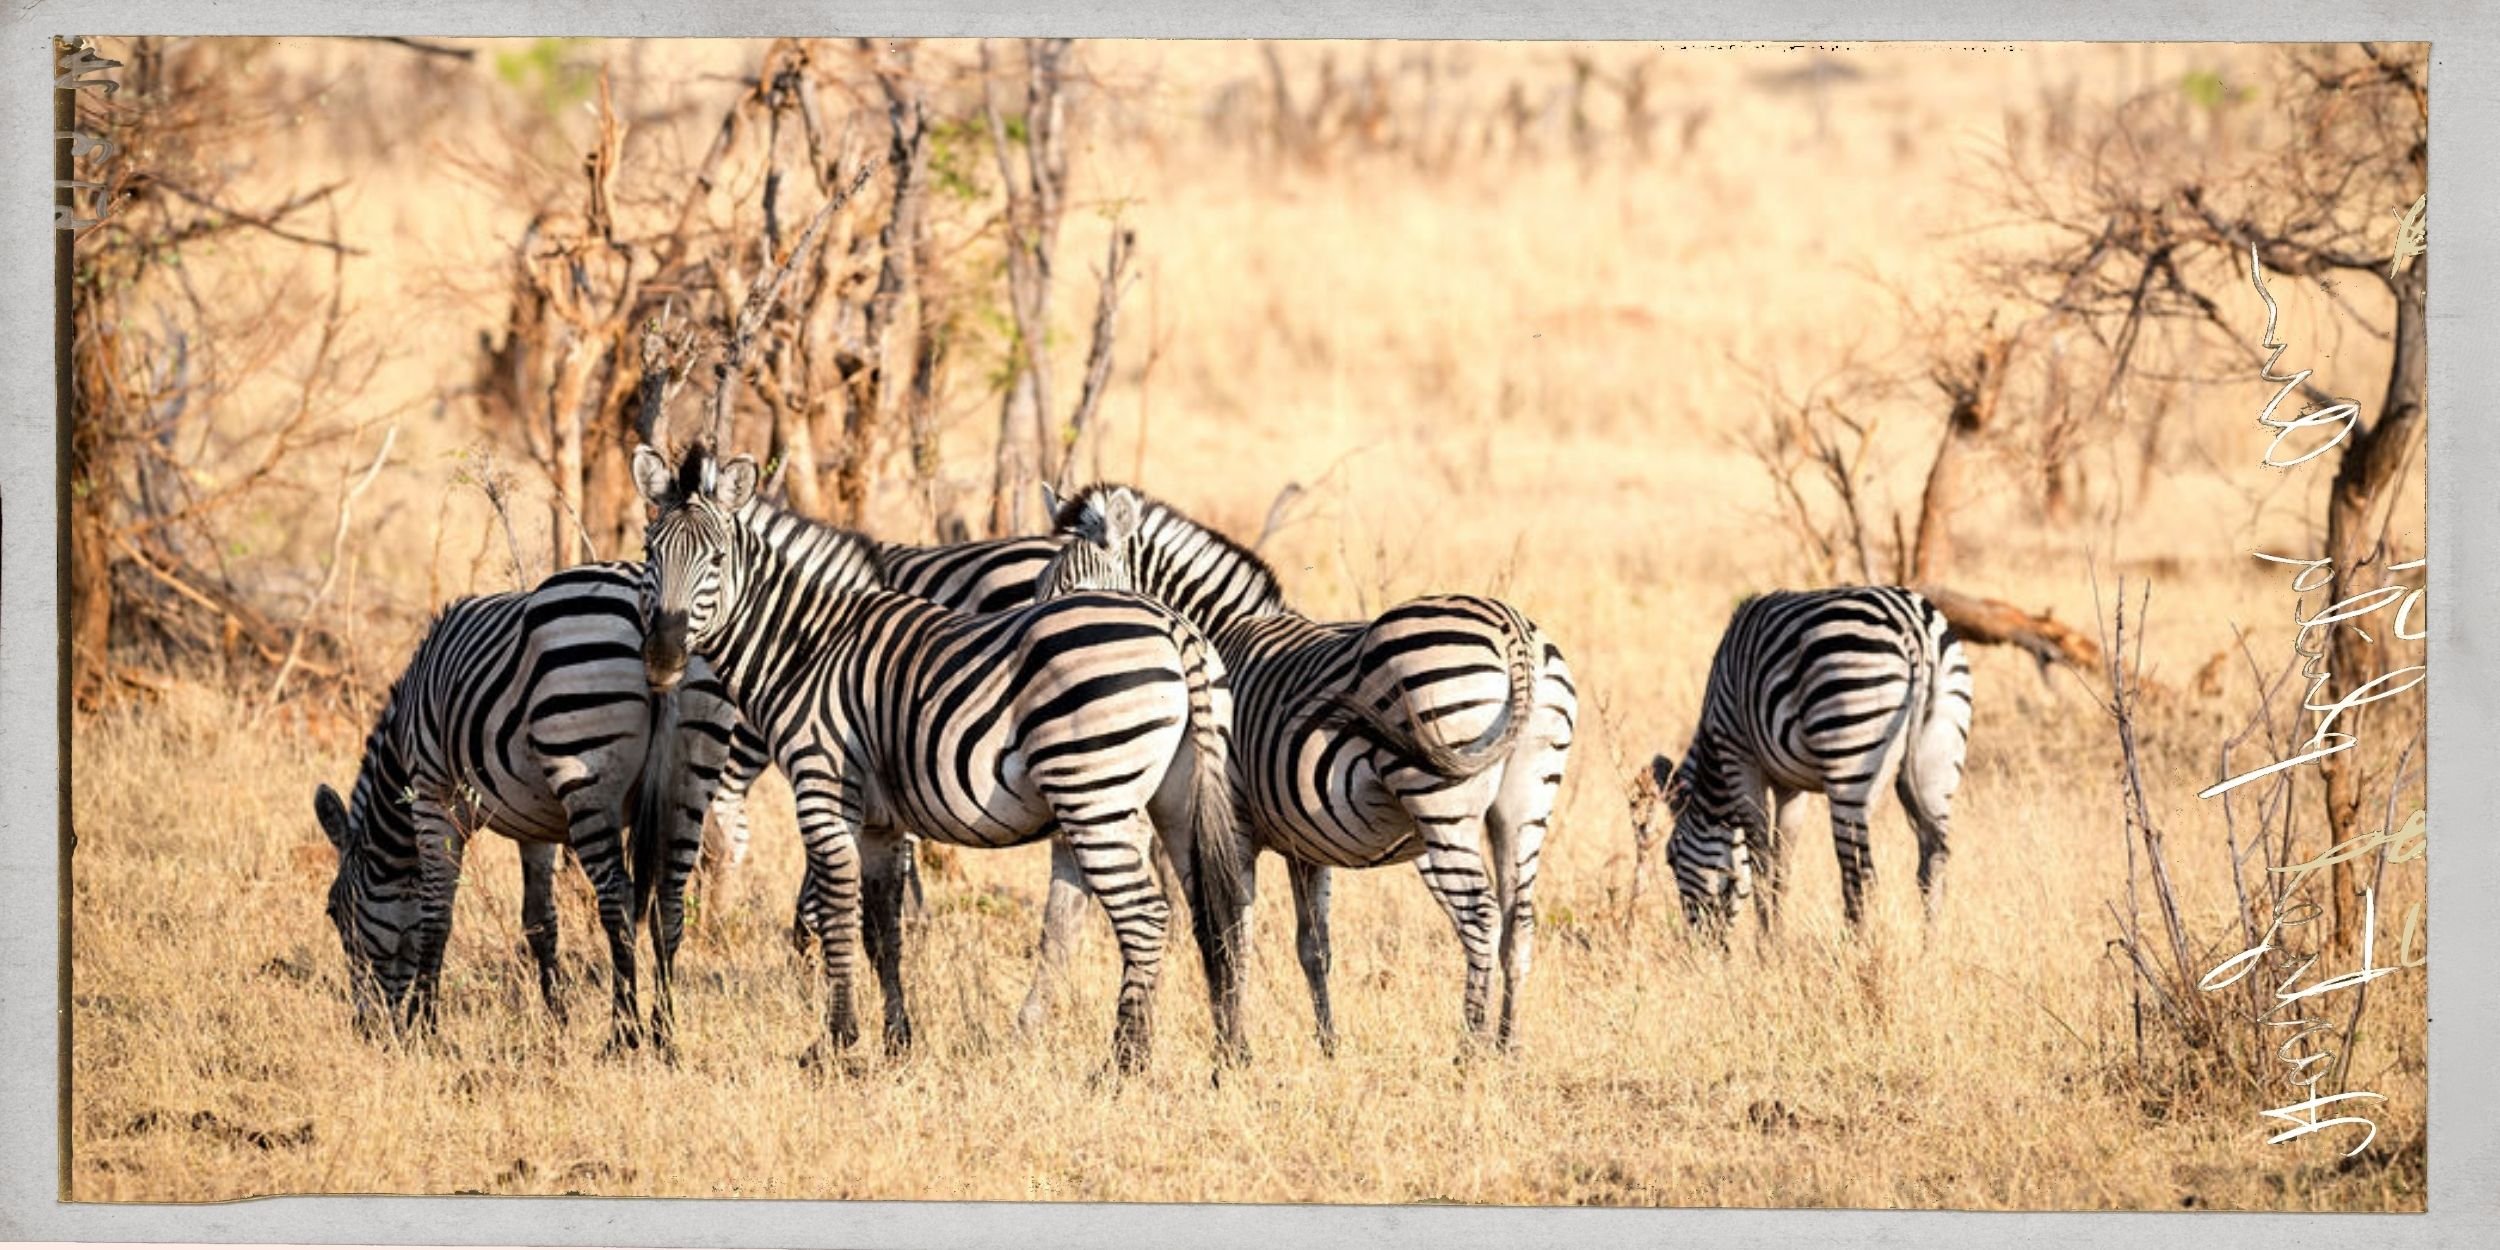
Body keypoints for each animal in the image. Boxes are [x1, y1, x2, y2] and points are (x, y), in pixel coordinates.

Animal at [312, 562, 736, 1052]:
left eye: (334, 911)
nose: (365, 1030)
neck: (402, 745)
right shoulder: (538, 826)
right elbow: (540, 923)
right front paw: (557, 1023)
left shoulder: (433, 797)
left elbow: (436, 914)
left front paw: (424, 1028)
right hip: (691, 777)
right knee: (669, 902)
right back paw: (664, 1037)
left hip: (586, 770)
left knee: (617, 898)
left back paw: (623, 1035)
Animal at [633, 443, 1242, 1072]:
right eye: (649, 552)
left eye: (715, 558)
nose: (663, 657)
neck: (809, 647)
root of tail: (1172, 625)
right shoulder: (881, 822)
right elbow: (883, 932)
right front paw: (896, 1039)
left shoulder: (824, 791)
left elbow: (838, 916)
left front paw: (835, 1042)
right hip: (1179, 798)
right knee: (1214, 913)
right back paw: (1227, 1052)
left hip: (1092, 795)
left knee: (1145, 917)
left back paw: (1123, 1065)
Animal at [1031, 482, 1578, 1055]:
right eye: (1040, 589)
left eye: (1075, 594)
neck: (1219, 634)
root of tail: (1512, 629)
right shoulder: (1305, 841)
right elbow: (1313, 947)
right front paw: (1328, 1045)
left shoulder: (1235, 822)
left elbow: (1235, 931)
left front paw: (1233, 1046)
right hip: (1525, 803)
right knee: (1519, 923)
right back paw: (1507, 1047)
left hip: (1441, 801)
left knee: (1481, 917)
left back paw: (1469, 1052)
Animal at [1652, 585, 1973, 937]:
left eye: (1670, 858)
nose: (1696, 944)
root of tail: (1912, 625)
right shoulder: (1791, 787)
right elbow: (1782, 869)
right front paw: (1777, 938)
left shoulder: (1739, 758)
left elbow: (1761, 863)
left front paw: (1766, 945)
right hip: (1937, 760)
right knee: (1933, 864)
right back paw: (1929, 946)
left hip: (1849, 760)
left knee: (1861, 875)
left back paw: (1857, 948)